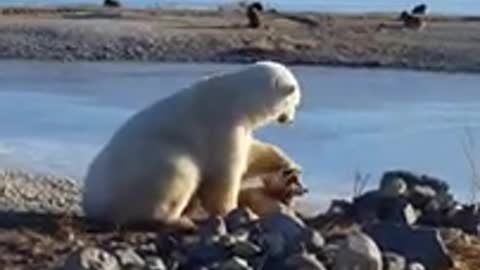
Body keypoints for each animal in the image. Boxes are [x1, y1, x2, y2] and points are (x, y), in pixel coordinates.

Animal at [81, 60, 302, 230]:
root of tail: (93, 203)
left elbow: (251, 153)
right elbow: (225, 172)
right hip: (147, 168)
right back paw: (179, 221)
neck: (238, 96)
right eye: (295, 103)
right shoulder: (223, 124)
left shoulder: (240, 126)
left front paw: (288, 165)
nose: (290, 120)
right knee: (180, 172)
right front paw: (234, 211)